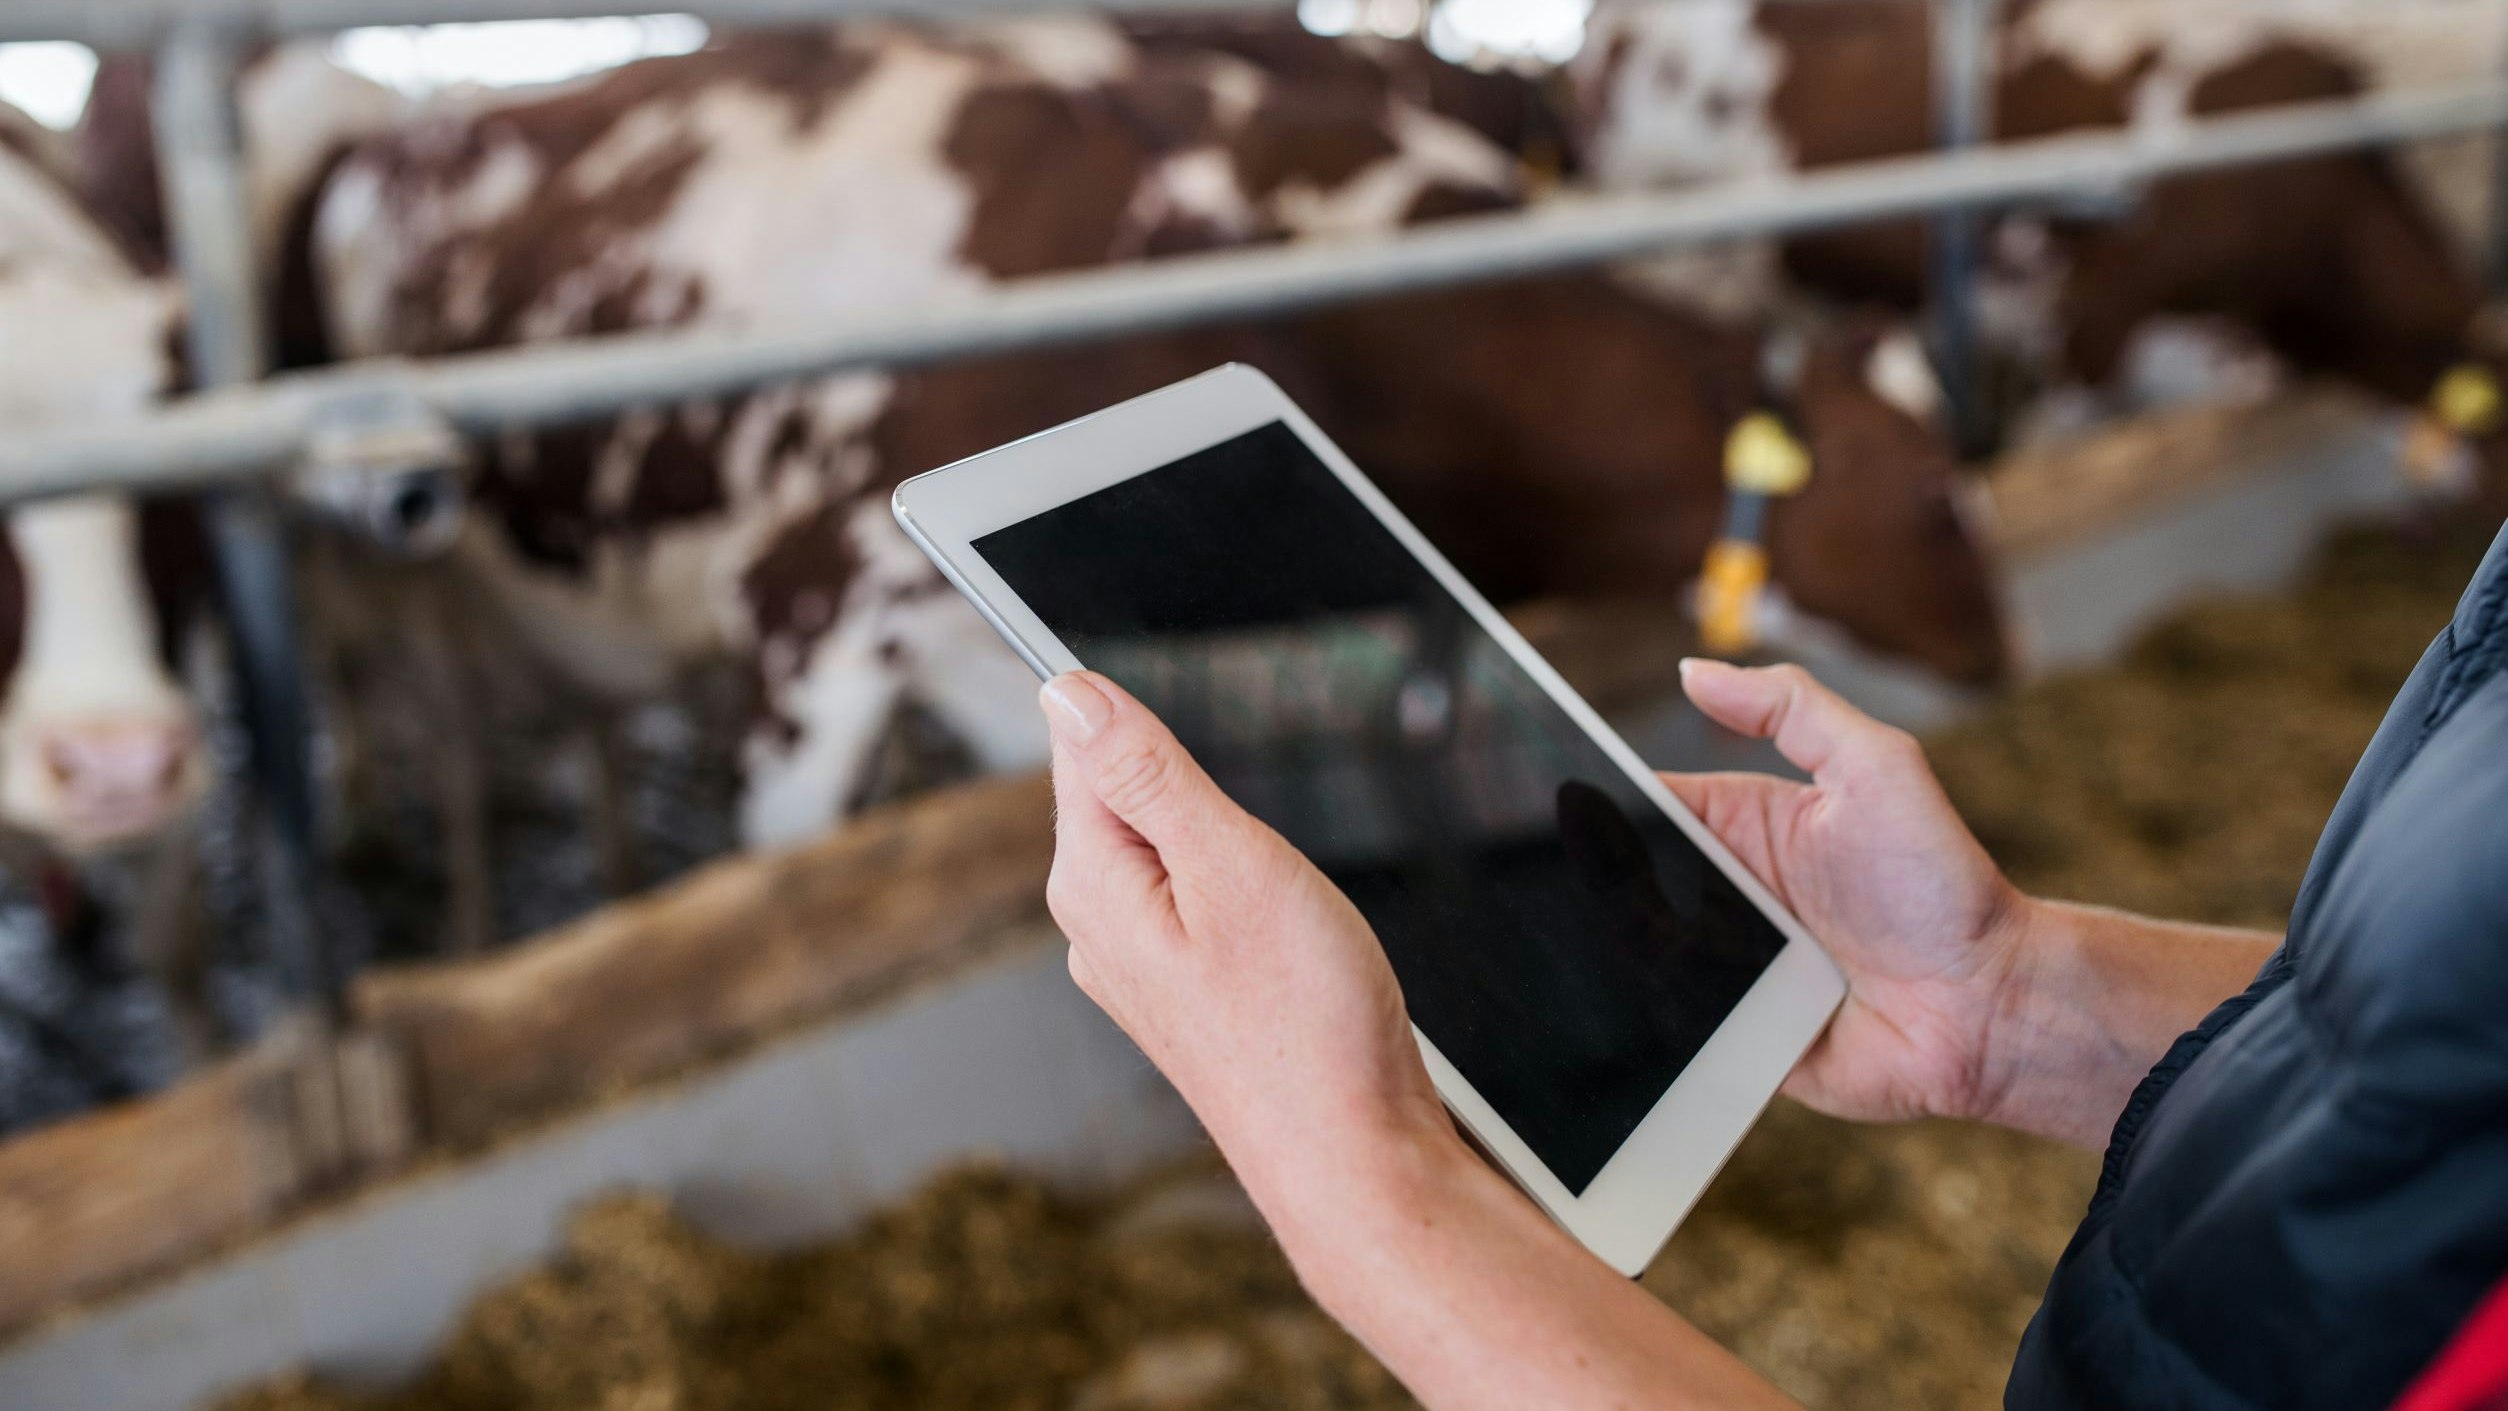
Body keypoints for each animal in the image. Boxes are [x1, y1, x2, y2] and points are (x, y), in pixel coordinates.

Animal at [284, 16, 2006, 882]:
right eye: (1935, 493)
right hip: (397, 576)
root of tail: (391, 135)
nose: (2005, 655)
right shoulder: (809, 611)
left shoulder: (989, 660)